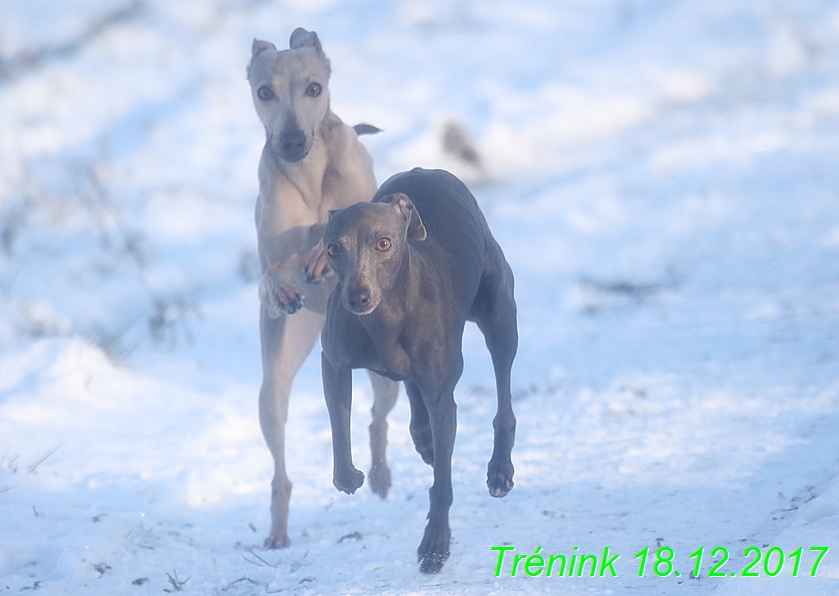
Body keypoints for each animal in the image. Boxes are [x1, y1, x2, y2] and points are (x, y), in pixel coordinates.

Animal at [246, 29, 400, 548]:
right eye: (264, 91)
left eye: (314, 88)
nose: (292, 141)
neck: (311, 176)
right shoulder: (268, 262)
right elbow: (268, 276)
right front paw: (283, 284)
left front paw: (320, 253)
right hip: (273, 389)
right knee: (280, 467)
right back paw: (278, 531)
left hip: (385, 375)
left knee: (376, 417)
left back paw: (380, 476)